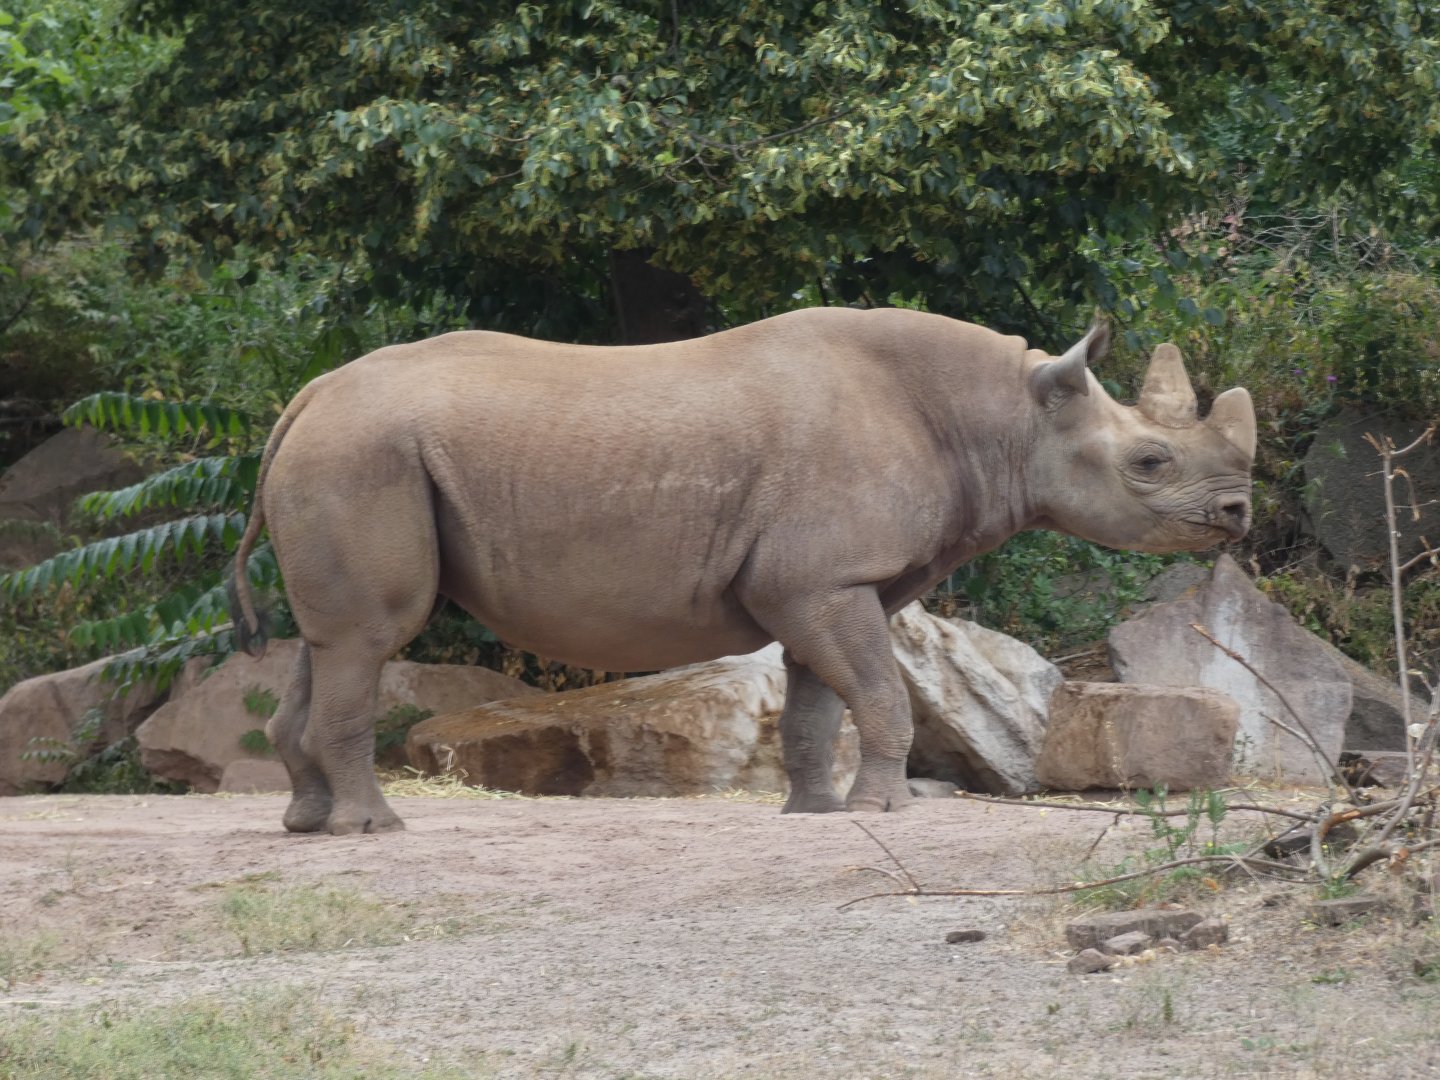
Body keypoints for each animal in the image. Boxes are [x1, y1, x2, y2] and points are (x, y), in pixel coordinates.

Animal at [228, 307, 1255, 835]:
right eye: (1151, 463)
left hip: (347, 452)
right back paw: (374, 830)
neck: (1002, 418)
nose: (1238, 514)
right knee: (373, 635)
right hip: (363, 453)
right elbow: (879, 691)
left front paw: (814, 812)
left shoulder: (821, 585)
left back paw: (307, 826)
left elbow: (817, 704)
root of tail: (306, 396)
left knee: (332, 638)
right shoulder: (826, 580)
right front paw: (883, 809)